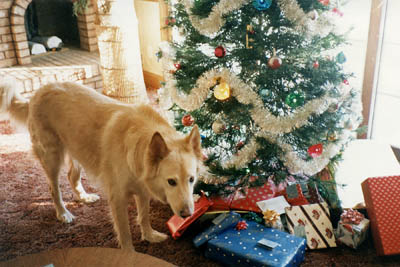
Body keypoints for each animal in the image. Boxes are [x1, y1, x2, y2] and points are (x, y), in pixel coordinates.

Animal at [0, 80, 200, 251]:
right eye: (171, 182)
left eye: (191, 179)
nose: (188, 214)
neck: (139, 145)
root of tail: (36, 94)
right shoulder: (117, 198)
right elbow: (125, 232)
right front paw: (130, 254)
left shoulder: (142, 188)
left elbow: (144, 215)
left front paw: (149, 236)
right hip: (52, 157)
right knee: (53, 189)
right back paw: (63, 213)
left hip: (78, 151)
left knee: (71, 176)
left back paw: (84, 197)